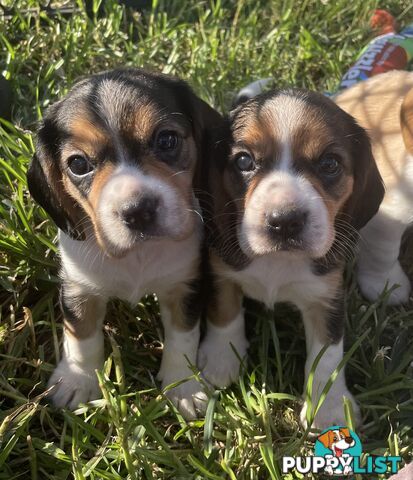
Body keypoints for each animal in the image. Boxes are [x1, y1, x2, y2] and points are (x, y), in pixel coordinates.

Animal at [27, 67, 220, 420]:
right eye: (78, 164)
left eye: (167, 140)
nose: (138, 211)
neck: (139, 255)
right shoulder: (79, 288)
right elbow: (81, 336)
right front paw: (77, 380)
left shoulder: (185, 285)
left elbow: (182, 337)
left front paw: (183, 386)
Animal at [201, 89, 384, 428]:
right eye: (244, 160)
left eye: (329, 163)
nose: (284, 221)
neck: (279, 260)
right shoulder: (222, 271)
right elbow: (224, 314)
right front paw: (221, 361)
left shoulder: (327, 296)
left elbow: (327, 354)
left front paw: (328, 408)